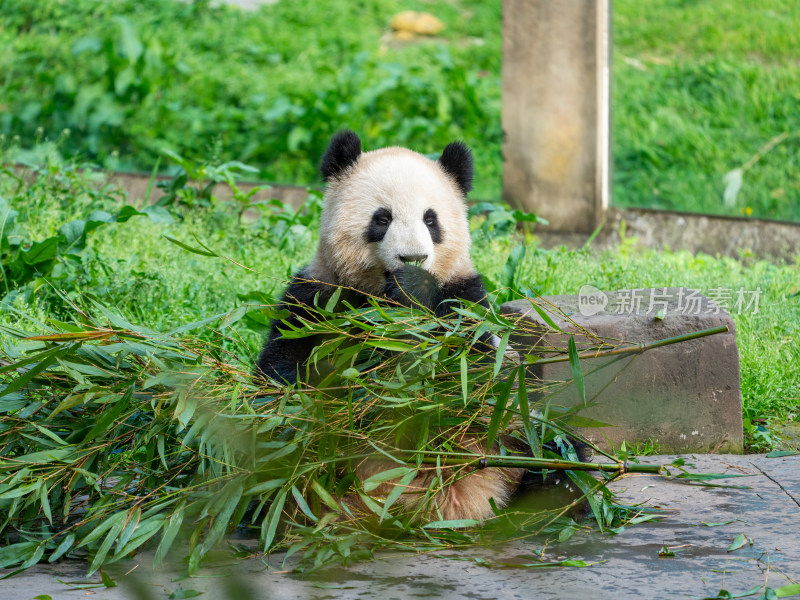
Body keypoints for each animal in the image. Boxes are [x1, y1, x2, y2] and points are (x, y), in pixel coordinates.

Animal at [256, 131, 536, 520]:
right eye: (382, 218)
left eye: (431, 220)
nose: (412, 258)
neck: (385, 301)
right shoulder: (321, 299)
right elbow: (286, 372)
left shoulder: (464, 303)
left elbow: (469, 379)